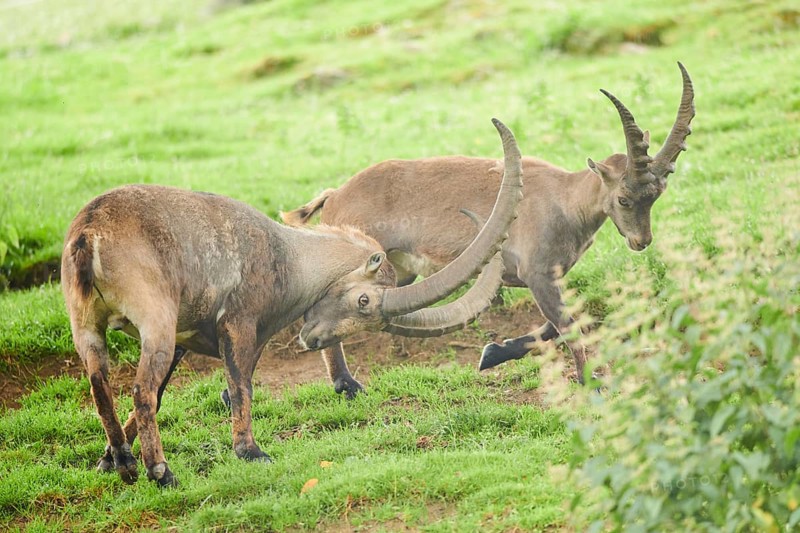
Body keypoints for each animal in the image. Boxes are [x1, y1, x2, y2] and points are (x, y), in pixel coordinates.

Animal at [61, 119, 522, 487]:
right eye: (364, 299)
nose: (312, 340)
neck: (289, 256)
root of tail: (89, 236)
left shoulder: (182, 336)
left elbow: (164, 394)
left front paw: (106, 459)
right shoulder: (239, 325)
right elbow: (239, 385)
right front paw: (251, 452)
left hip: (87, 323)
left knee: (101, 381)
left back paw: (124, 462)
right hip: (153, 318)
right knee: (138, 388)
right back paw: (161, 471)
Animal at [282, 63, 695, 384]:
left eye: (657, 194)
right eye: (624, 198)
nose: (641, 241)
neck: (565, 200)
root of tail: (335, 196)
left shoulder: (550, 276)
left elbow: (551, 327)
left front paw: (493, 352)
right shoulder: (537, 273)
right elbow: (567, 326)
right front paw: (588, 382)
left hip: (399, 272)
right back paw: (346, 384)